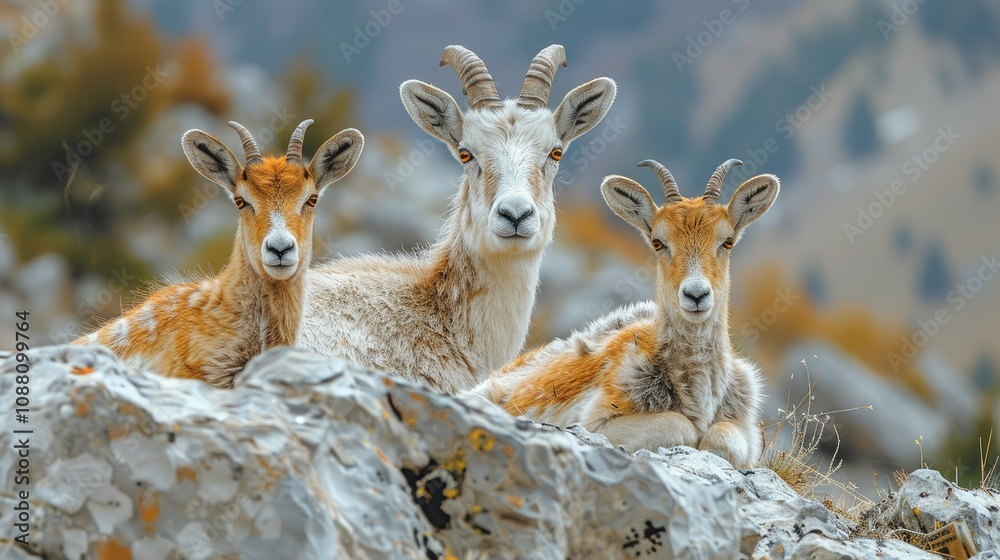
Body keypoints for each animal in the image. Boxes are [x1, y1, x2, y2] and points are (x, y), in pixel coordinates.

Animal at [466, 159, 779, 468]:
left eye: (728, 241)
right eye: (658, 242)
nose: (696, 294)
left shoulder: (745, 429)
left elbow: (723, 437)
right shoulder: (597, 421)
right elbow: (681, 426)